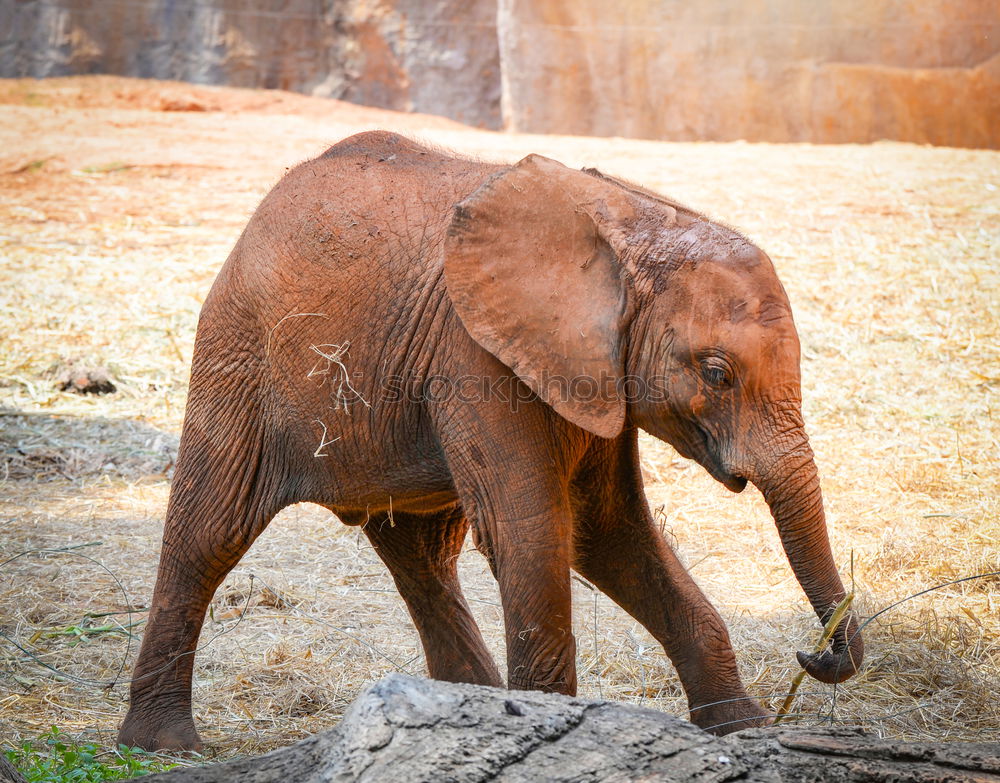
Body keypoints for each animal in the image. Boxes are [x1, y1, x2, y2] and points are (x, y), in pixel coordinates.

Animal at [121, 130, 864, 752]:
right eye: (715, 372)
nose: (814, 653)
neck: (634, 226)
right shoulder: (477, 356)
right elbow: (533, 536)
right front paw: (551, 733)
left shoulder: (591, 372)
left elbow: (611, 532)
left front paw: (747, 730)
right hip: (240, 354)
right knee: (208, 532)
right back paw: (164, 745)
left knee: (421, 558)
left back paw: (457, 711)